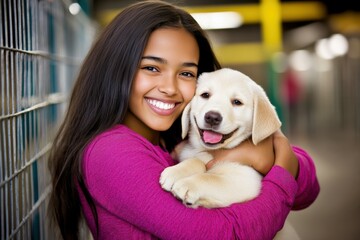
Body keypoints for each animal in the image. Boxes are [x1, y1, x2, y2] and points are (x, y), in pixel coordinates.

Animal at [160, 67, 282, 208]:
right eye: (205, 95)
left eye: (237, 102)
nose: (212, 117)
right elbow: (197, 160)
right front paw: (176, 171)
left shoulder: (247, 180)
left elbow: (210, 178)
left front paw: (187, 184)